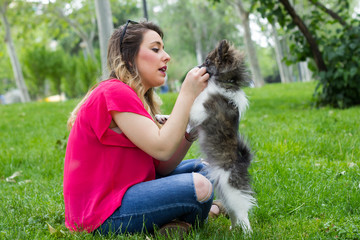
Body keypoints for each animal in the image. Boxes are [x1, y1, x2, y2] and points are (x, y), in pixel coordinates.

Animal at [188, 39, 256, 234]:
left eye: (207, 61)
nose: (196, 67)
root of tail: (243, 163)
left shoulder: (200, 110)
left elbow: (192, 106)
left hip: (232, 190)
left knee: (242, 212)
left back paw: (247, 233)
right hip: (224, 191)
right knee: (234, 213)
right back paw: (233, 229)